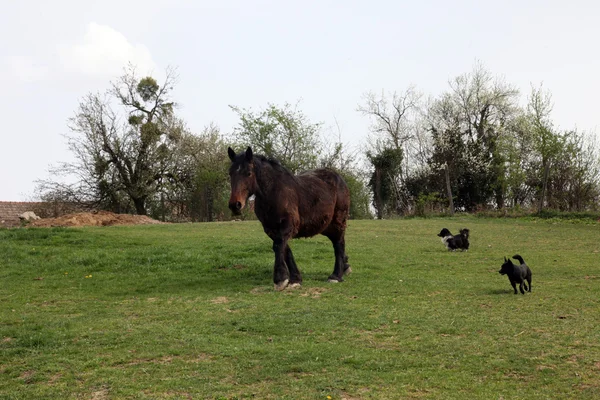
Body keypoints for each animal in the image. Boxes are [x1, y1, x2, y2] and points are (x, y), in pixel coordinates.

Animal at [229, 147, 352, 290]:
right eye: (230, 173)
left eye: (248, 173)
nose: (235, 205)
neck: (274, 192)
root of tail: (339, 178)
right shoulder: (271, 228)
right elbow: (285, 249)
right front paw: (295, 279)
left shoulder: (288, 224)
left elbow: (278, 246)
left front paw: (280, 279)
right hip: (326, 226)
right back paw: (345, 267)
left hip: (338, 221)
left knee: (339, 243)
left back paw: (336, 275)